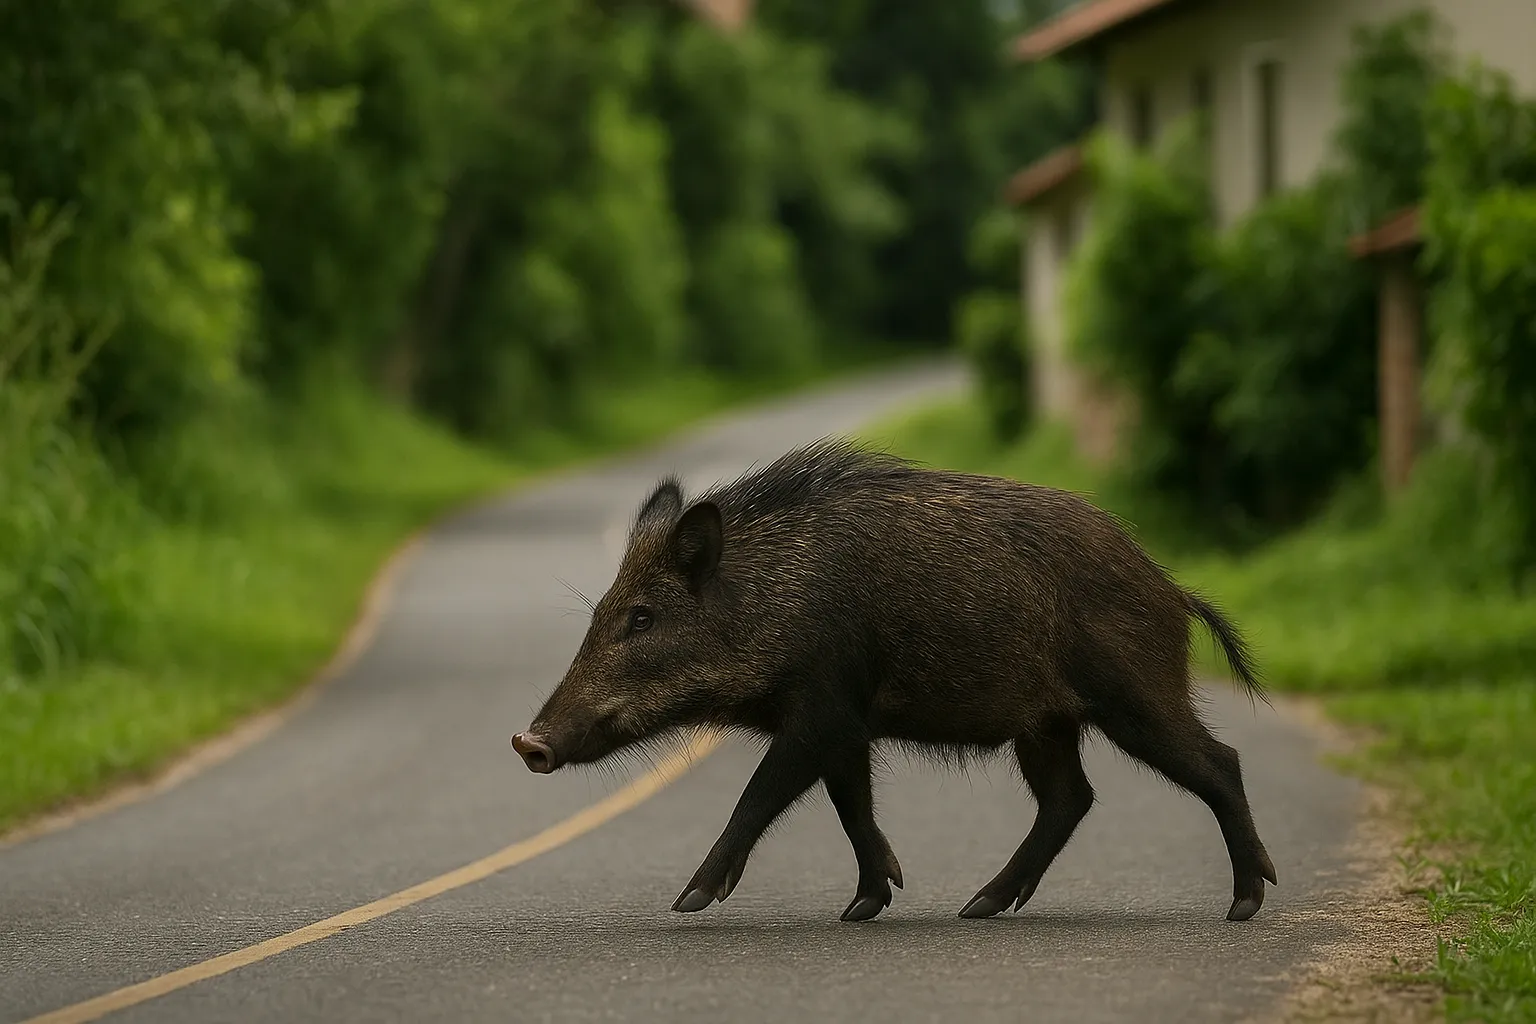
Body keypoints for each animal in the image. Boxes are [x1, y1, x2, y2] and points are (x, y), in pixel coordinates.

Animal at [512, 438, 1277, 924]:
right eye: (602, 612)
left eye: (642, 617)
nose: (528, 743)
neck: (769, 602)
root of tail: (1172, 589)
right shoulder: (847, 726)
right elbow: (852, 806)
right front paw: (864, 906)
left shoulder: (823, 709)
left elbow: (760, 794)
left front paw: (689, 901)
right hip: (1046, 723)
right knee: (1071, 798)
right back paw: (977, 907)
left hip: (1134, 695)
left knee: (1221, 762)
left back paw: (1243, 905)